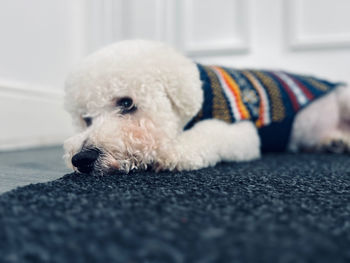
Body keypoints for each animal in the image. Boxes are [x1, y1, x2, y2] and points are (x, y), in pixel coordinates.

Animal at [63, 39, 350, 175]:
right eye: (86, 119)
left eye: (126, 103)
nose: (82, 159)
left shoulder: (243, 133)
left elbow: (209, 134)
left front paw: (173, 152)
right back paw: (334, 142)